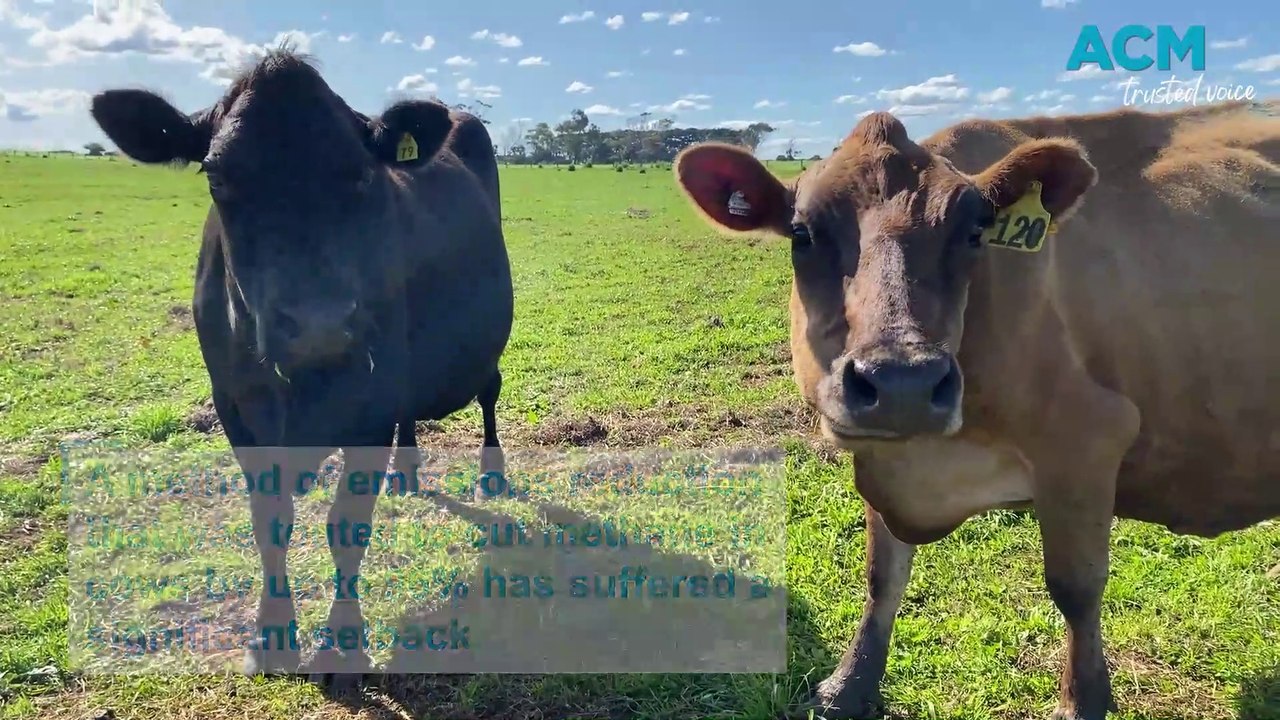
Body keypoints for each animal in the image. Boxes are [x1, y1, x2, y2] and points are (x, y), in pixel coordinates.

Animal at [88, 46, 514, 684]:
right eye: (218, 176)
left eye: (360, 174)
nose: (318, 324)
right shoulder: (234, 407)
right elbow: (270, 520)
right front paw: (270, 636)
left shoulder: (369, 403)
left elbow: (347, 525)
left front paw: (342, 648)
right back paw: (407, 473)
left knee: (489, 392)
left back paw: (492, 474)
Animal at [672, 100, 1280, 720]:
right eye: (802, 233)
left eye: (973, 232)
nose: (903, 382)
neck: (933, 464)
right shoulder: (882, 456)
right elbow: (882, 577)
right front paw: (849, 684)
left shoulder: (1087, 441)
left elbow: (1076, 587)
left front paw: (1082, 699)